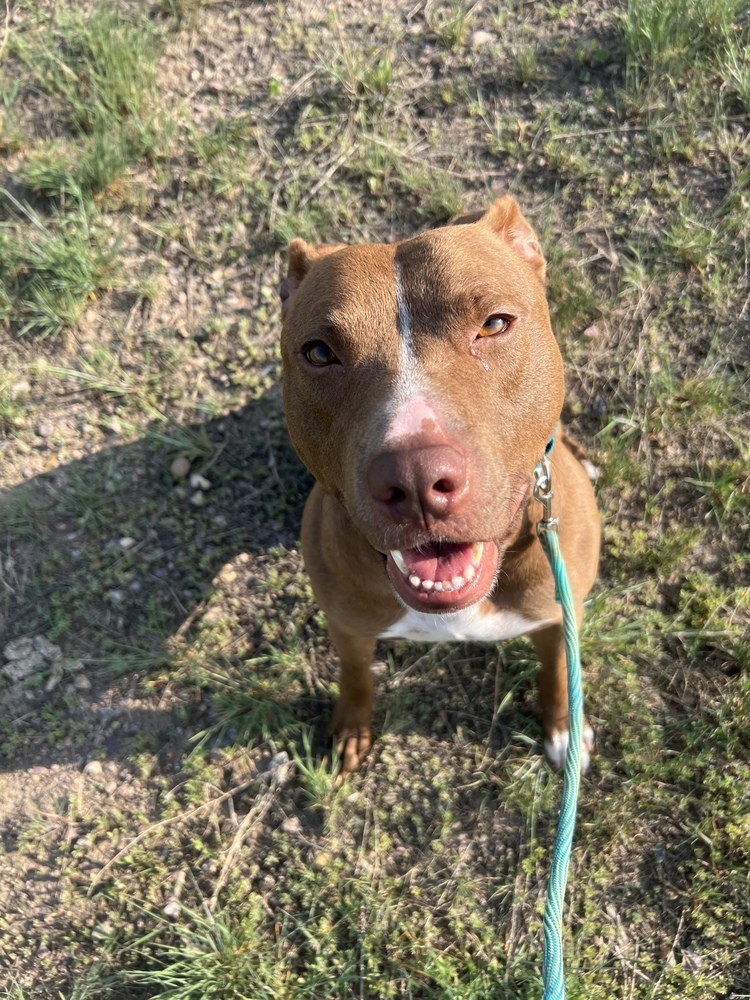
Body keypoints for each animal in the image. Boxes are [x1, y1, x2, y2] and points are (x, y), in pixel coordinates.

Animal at [280, 193, 604, 772]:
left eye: (494, 324)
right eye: (318, 353)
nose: (415, 479)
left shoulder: (557, 615)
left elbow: (559, 670)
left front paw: (565, 729)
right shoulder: (347, 624)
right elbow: (355, 676)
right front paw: (352, 727)